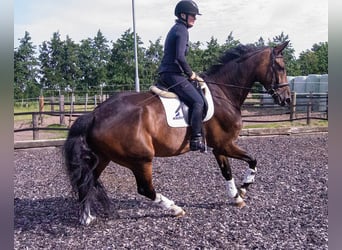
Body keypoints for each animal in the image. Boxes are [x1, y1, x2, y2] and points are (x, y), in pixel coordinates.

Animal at [63, 41, 292, 225]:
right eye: (280, 67)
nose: (287, 99)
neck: (224, 92)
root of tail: (95, 114)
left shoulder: (219, 147)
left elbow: (227, 171)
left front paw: (236, 196)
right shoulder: (225, 144)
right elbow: (252, 160)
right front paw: (244, 186)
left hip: (103, 157)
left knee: (87, 181)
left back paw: (86, 217)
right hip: (141, 159)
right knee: (145, 189)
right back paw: (174, 208)